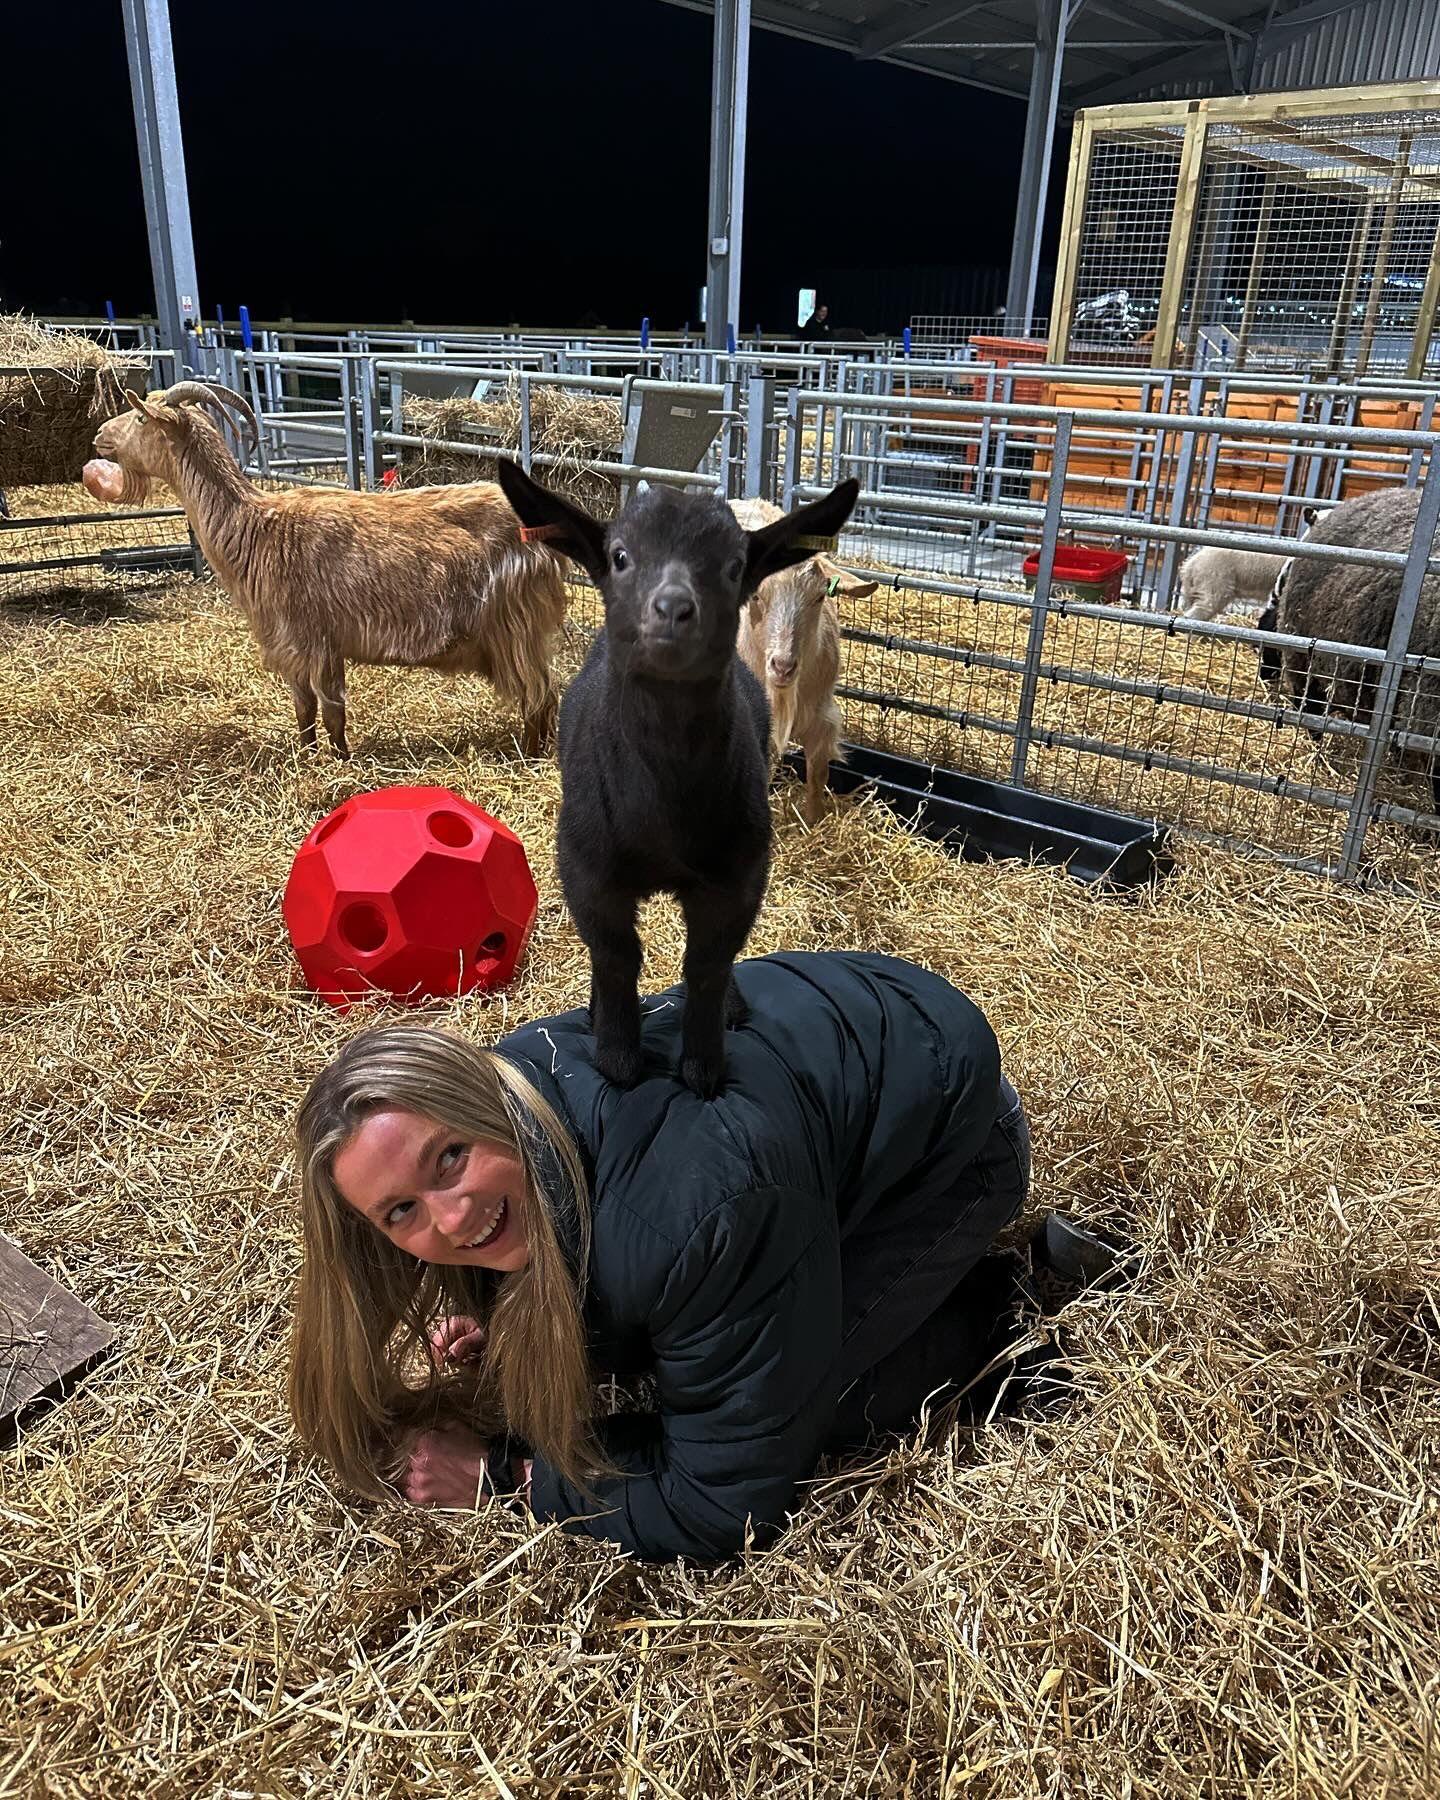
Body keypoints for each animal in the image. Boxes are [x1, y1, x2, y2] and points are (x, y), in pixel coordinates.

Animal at [82, 383, 568, 756]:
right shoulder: (292, 648)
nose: (99, 435)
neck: (257, 528)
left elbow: (333, 711)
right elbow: (304, 710)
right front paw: (307, 755)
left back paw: (532, 754)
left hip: (514, 626)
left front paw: (340, 762)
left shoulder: (319, 639)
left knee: (541, 695)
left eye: (140, 418)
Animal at [496, 457, 856, 1094]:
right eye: (619, 555)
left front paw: (704, 1066)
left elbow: (709, 963)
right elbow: (616, 957)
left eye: (736, 566)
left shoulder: (739, 875)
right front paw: (617, 1055)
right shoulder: (586, 869)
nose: (672, 610)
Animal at [730, 496, 878, 824]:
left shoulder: (823, 718)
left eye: (819, 597)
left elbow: (817, 776)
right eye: (756, 595)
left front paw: (813, 821)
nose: (783, 666)